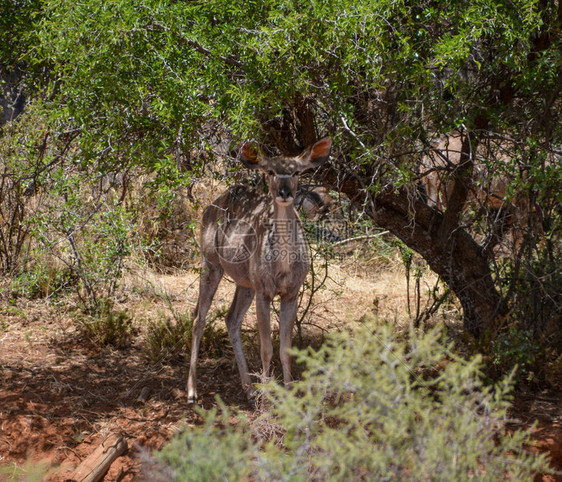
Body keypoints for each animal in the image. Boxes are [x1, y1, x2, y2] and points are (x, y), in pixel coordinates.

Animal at [186, 137, 330, 402]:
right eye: (270, 171)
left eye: (296, 171)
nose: (284, 193)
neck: (283, 265)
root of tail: (210, 207)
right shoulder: (264, 292)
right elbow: (266, 348)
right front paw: (268, 395)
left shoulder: (290, 293)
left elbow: (286, 349)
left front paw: (286, 393)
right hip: (210, 263)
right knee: (198, 318)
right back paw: (192, 391)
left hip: (245, 283)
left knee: (230, 319)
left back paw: (248, 388)